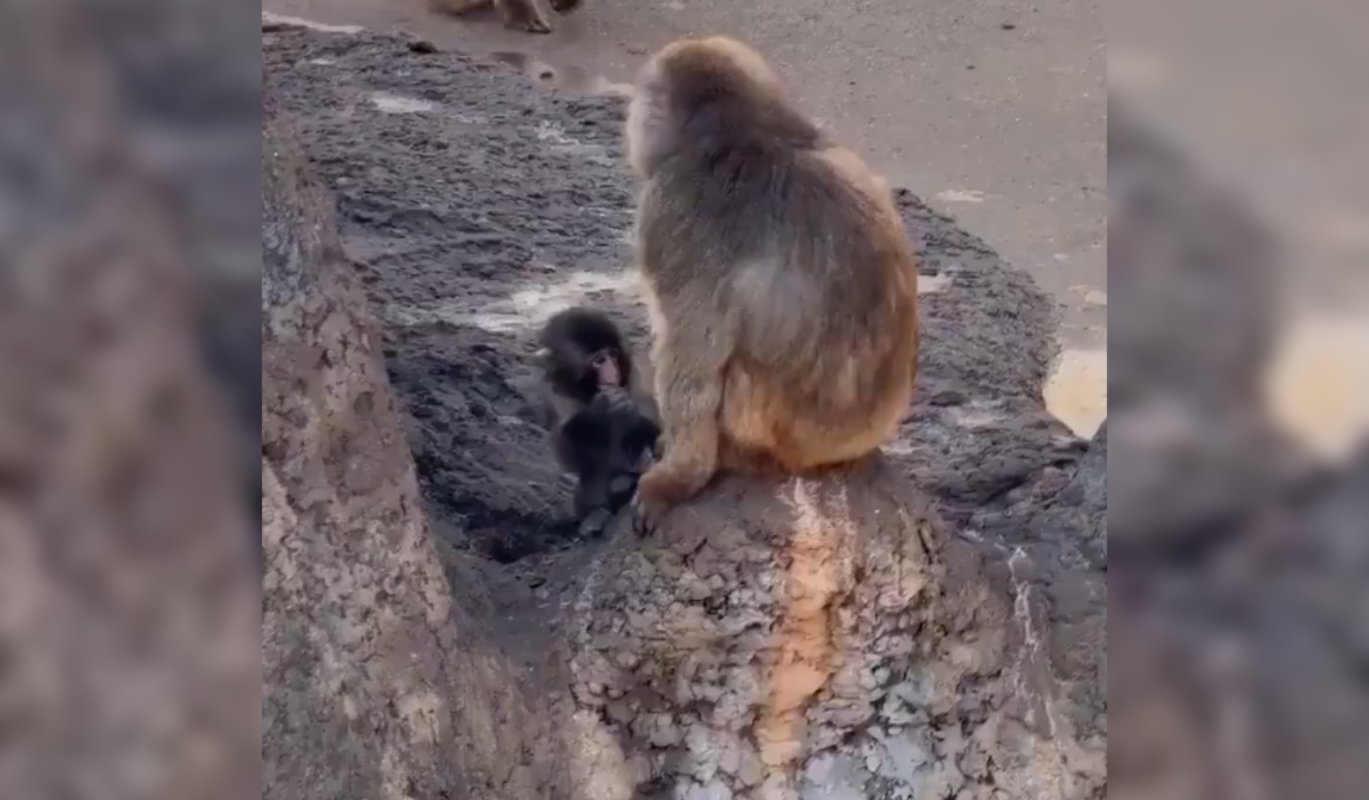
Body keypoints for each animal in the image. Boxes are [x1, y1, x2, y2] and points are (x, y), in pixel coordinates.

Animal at [535, 307, 662, 536]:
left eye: (612, 355)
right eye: (599, 361)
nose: (613, 372)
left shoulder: (633, 373)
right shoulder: (551, 388)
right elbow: (566, 453)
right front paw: (602, 406)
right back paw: (597, 513)